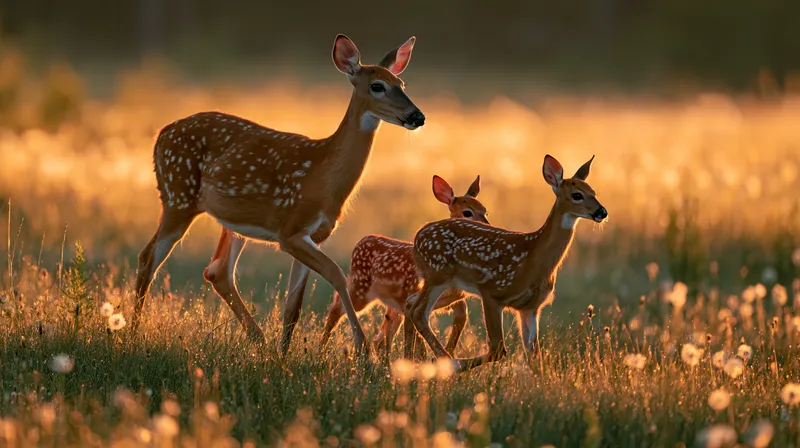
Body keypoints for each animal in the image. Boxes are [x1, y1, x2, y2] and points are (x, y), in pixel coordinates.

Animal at [131, 34, 425, 358]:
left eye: (401, 83)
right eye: (377, 85)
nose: (417, 116)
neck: (323, 176)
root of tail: (161, 135)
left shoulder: (314, 235)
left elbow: (293, 304)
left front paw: (283, 356)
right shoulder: (290, 229)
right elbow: (336, 273)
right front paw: (361, 348)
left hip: (230, 220)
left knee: (217, 270)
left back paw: (258, 339)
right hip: (178, 196)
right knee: (148, 257)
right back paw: (132, 334)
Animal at [320, 174, 488, 356]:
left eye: (485, 211)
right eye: (467, 212)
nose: (487, 226)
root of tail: (361, 241)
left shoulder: (453, 300)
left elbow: (460, 318)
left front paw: (446, 354)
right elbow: (419, 339)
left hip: (391, 305)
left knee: (379, 338)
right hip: (361, 289)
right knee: (337, 306)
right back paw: (321, 348)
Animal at [404, 154, 607, 372]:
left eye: (594, 192)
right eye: (577, 195)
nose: (602, 212)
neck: (533, 259)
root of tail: (417, 237)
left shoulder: (530, 308)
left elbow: (534, 355)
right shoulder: (492, 292)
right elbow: (497, 349)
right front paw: (454, 365)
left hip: (446, 284)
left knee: (412, 305)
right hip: (437, 275)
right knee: (419, 312)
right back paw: (444, 362)